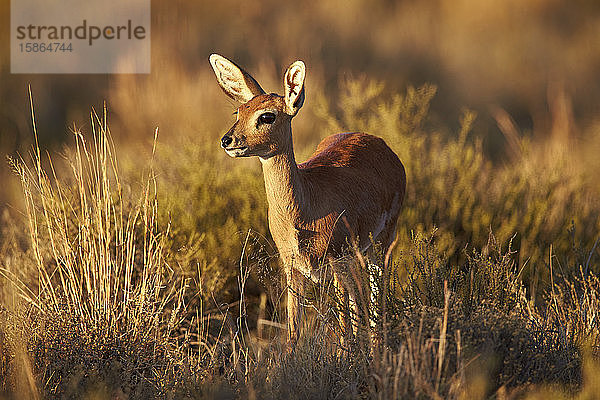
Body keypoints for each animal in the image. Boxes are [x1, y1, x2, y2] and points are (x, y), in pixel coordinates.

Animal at [209, 54, 406, 346]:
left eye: (267, 116)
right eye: (239, 112)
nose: (227, 140)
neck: (303, 208)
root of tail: (379, 142)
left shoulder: (336, 260)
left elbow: (344, 326)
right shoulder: (292, 267)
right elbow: (293, 330)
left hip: (381, 244)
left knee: (374, 297)